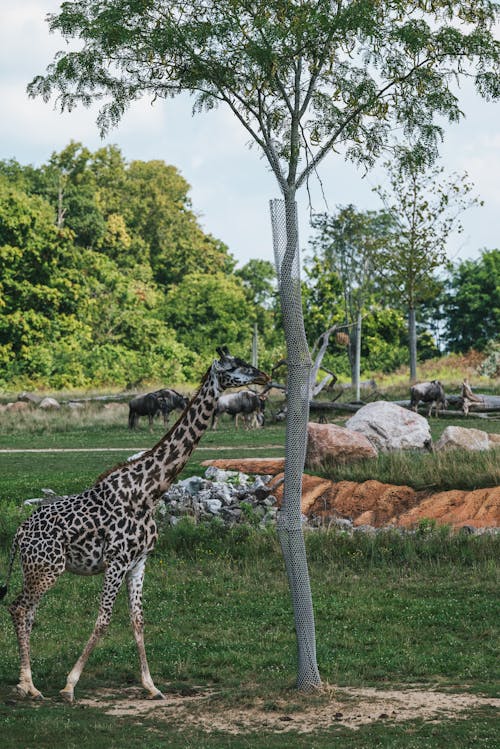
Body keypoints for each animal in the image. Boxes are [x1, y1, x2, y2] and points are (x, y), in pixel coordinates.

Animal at [0, 348, 270, 700]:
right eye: (235, 365)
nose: (264, 376)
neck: (149, 491)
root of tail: (19, 534)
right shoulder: (117, 560)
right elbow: (103, 619)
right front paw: (70, 685)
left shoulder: (139, 561)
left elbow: (137, 619)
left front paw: (151, 686)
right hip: (47, 568)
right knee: (19, 608)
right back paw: (28, 685)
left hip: (38, 569)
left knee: (29, 612)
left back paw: (28, 682)